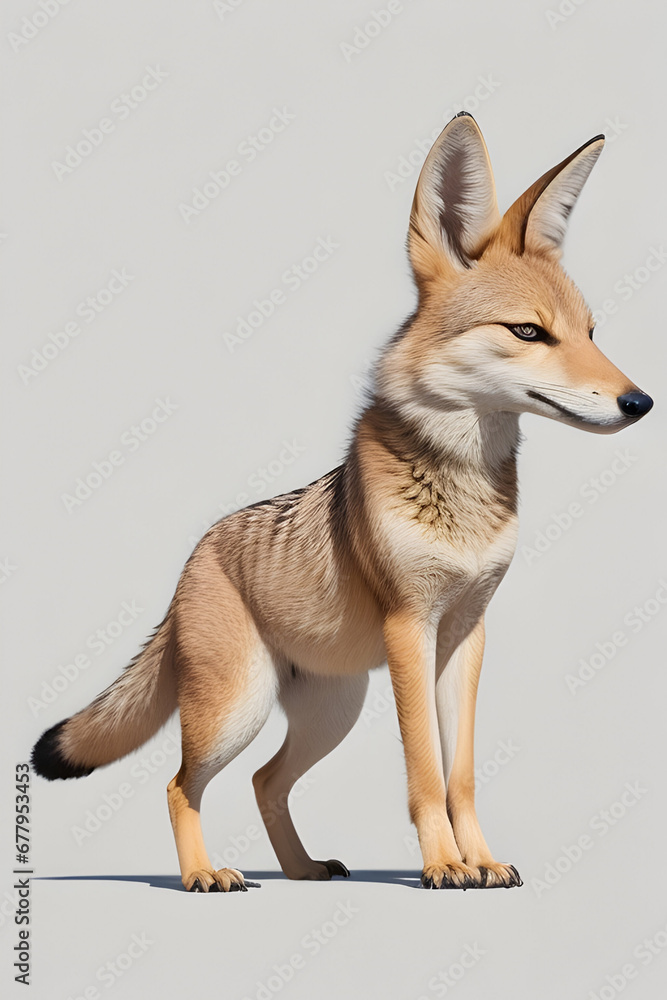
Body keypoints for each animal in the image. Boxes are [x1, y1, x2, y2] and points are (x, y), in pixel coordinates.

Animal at [32, 112, 653, 892]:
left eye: (591, 334)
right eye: (528, 332)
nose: (640, 402)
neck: (463, 492)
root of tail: (195, 556)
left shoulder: (466, 636)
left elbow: (460, 776)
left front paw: (479, 861)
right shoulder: (410, 629)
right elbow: (425, 775)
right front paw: (443, 866)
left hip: (334, 713)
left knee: (264, 782)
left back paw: (300, 870)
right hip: (238, 712)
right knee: (178, 785)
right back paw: (205, 876)